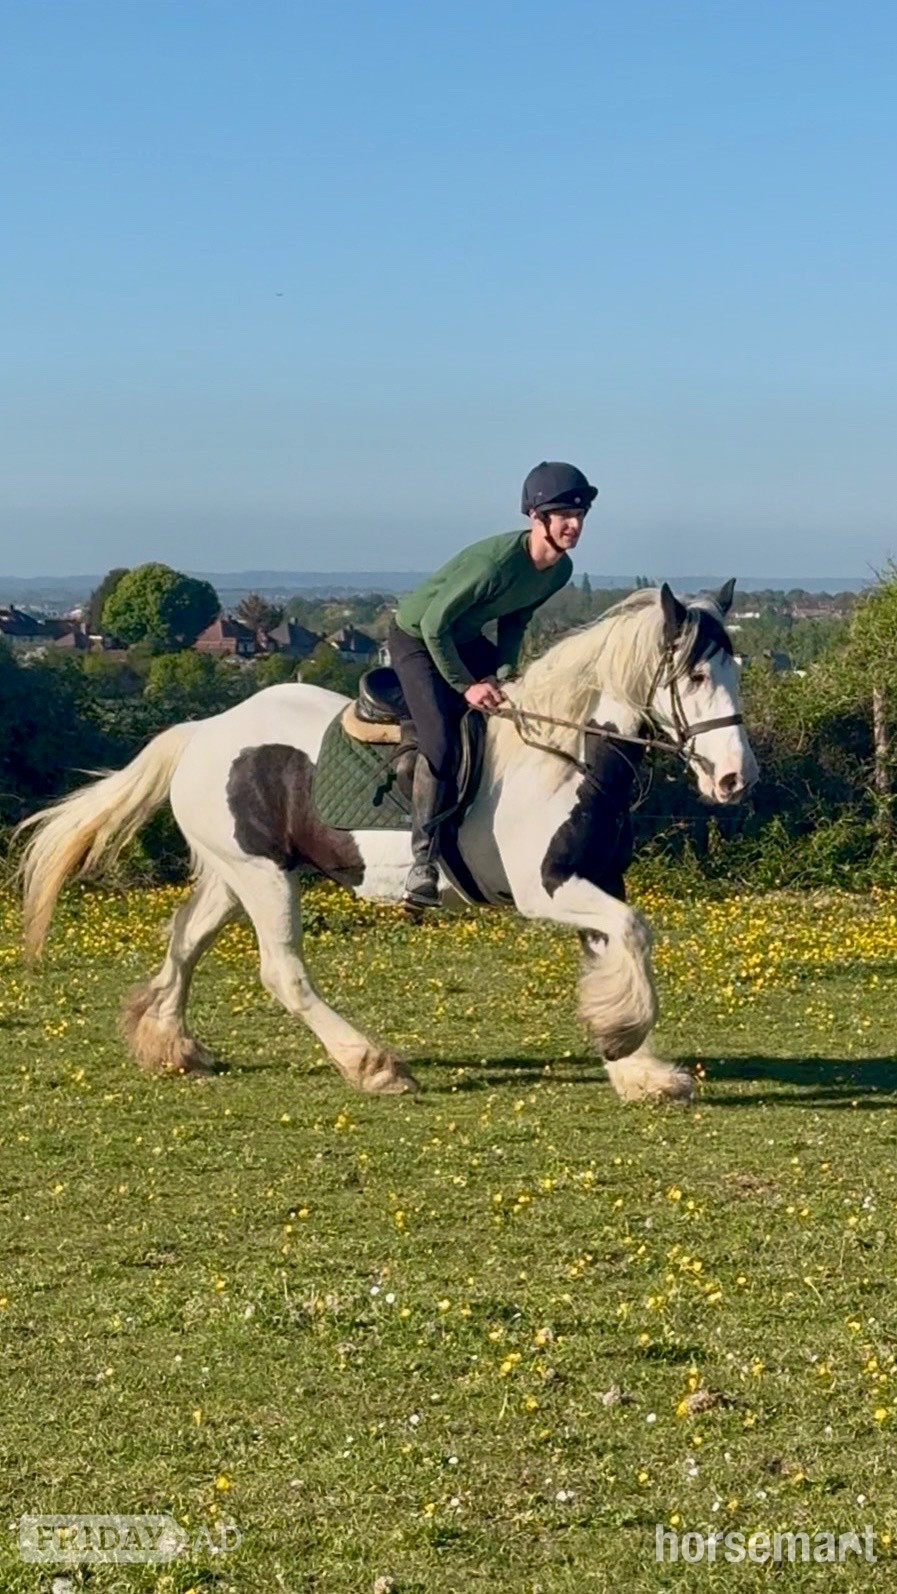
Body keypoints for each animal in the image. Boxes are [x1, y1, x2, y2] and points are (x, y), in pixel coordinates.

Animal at [17, 582, 757, 1102]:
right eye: (695, 676)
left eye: (737, 672)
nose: (735, 779)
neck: (563, 753)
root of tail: (203, 730)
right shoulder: (546, 891)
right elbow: (633, 933)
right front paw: (625, 1039)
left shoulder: (594, 880)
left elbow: (613, 951)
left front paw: (636, 1067)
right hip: (263, 876)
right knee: (281, 971)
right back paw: (372, 1065)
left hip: (236, 871)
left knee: (185, 941)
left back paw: (172, 1045)